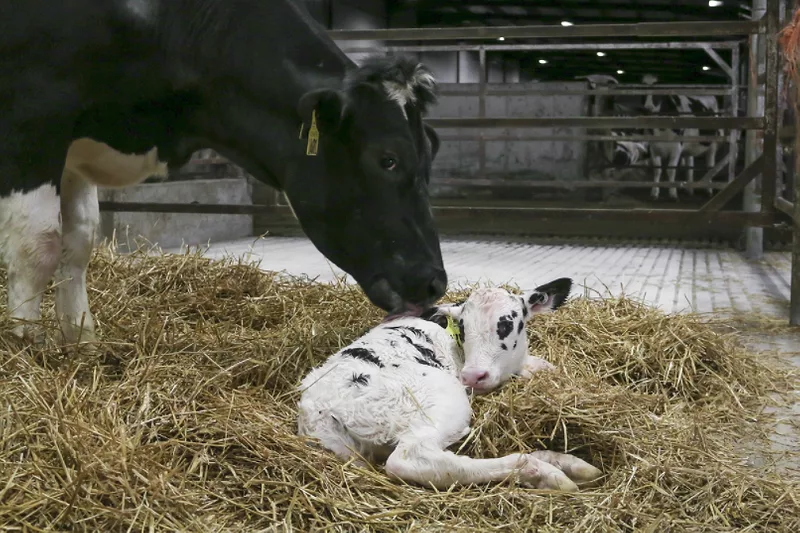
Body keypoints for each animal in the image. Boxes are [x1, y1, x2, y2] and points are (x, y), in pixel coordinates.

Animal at [0, 1, 447, 344]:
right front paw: (27, 350)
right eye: (388, 159)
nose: (435, 282)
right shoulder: (33, 120)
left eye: (431, 151)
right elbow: (39, 245)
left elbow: (79, 242)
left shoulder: (75, 145)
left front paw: (82, 344)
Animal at [297, 277, 604, 491]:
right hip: (440, 400)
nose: (473, 375)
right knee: (412, 458)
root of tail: (320, 410)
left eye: (506, 324)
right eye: (464, 327)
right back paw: (544, 472)